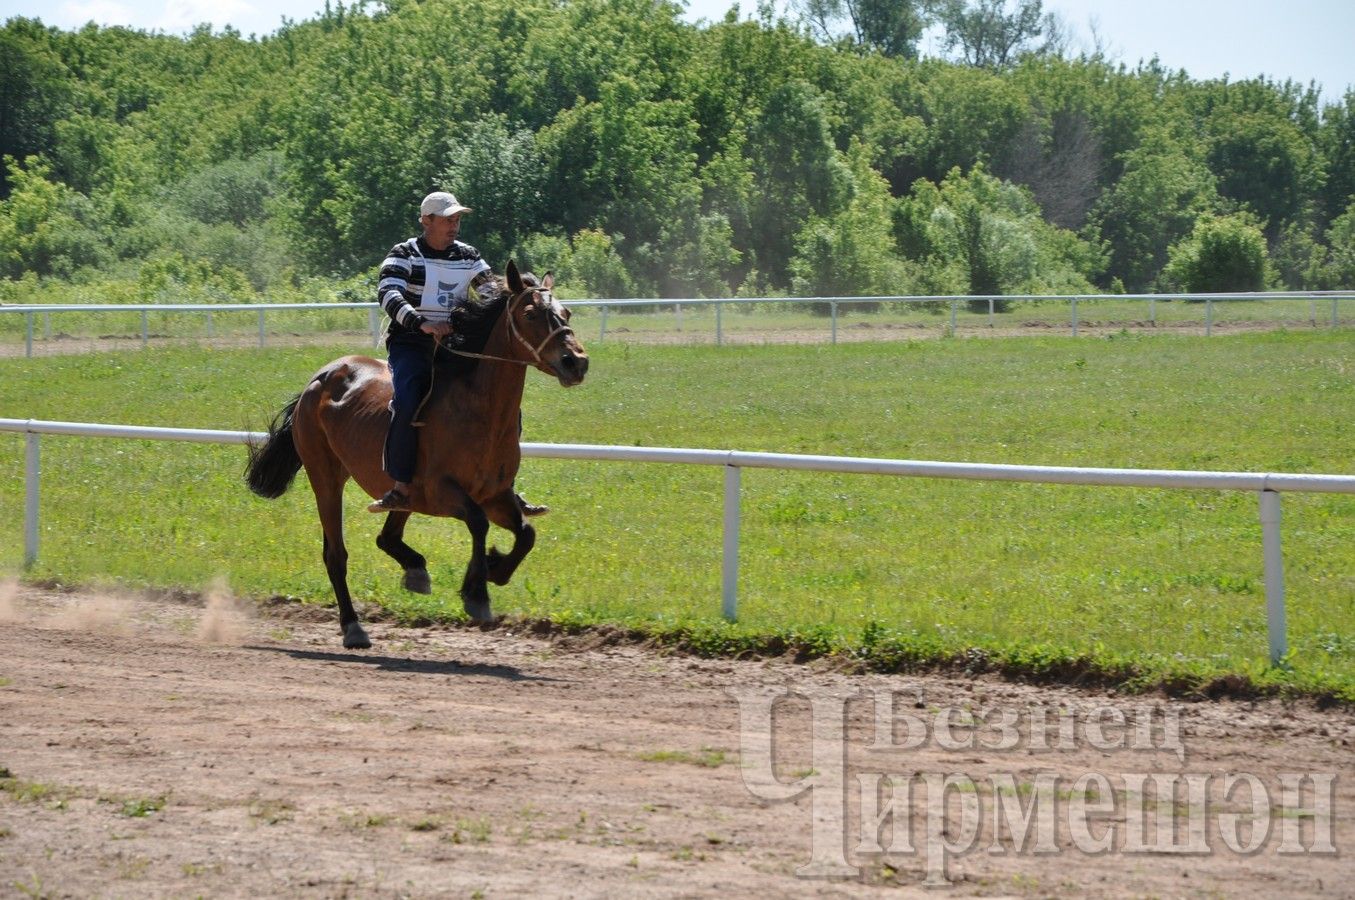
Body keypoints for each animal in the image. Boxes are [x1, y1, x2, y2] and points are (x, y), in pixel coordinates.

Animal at [243, 260, 588, 647]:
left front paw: (494, 568)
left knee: (387, 536)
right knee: (336, 555)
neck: (477, 411)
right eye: (530, 314)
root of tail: (320, 379)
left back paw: (415, 570)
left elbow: (526, 533)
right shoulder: (442, 493)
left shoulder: (495, 495)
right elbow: (478, 523)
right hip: (325, 478)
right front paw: (476, 592)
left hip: (399, 495)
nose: (576, 362)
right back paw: (353, 627)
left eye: (566, 312)